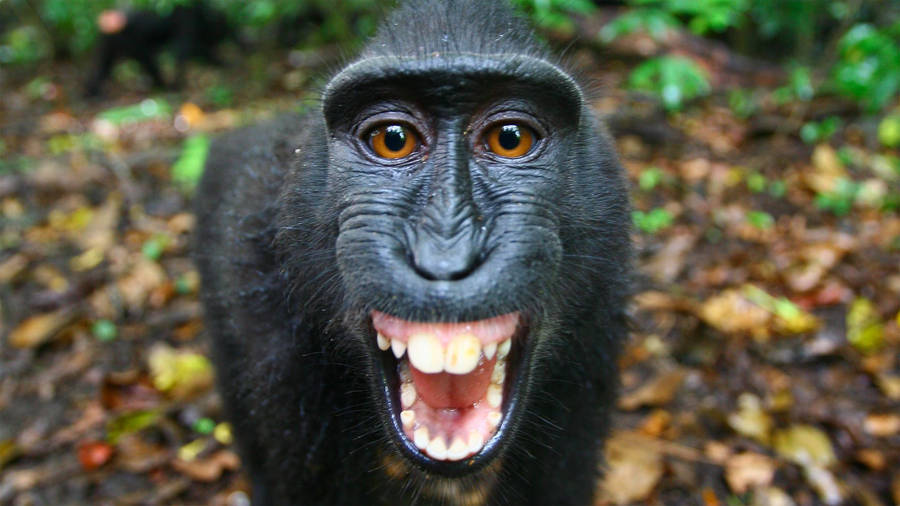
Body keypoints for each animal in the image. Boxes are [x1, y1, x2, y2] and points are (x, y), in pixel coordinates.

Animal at [84, 1, 233, 97]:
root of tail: (108, 21)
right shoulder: (187, 20)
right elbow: (184, 51)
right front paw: (177, 84)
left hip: (107, 43)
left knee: (102, 67)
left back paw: (91, 93)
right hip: (130, 43)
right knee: (148, 61)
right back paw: (162, 85)